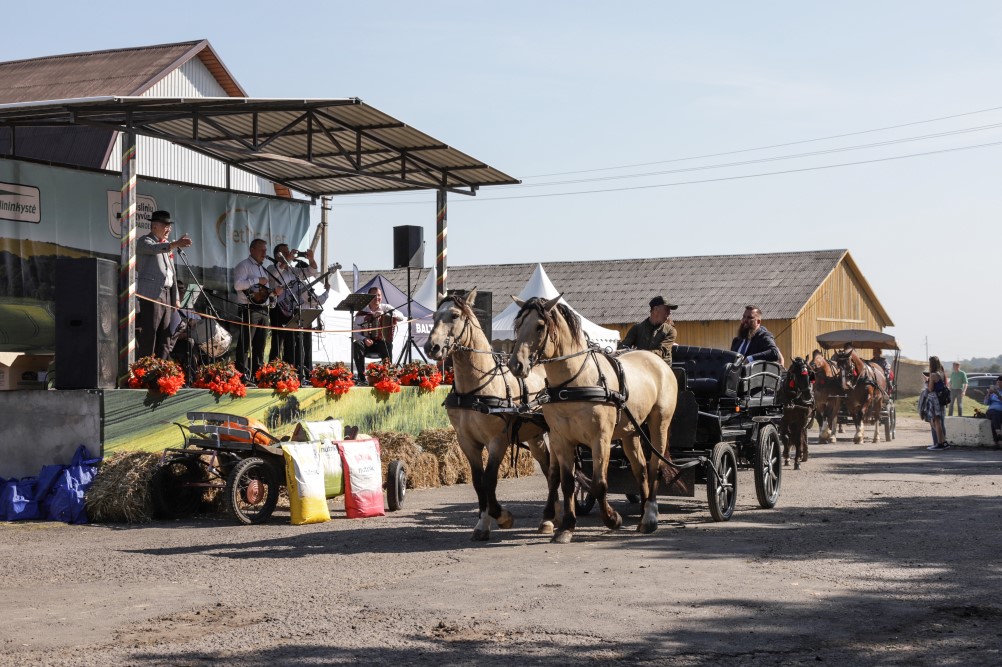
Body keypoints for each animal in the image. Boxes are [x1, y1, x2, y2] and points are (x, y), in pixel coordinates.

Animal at [418, 288, 553, 536]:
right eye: (433, 316)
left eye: (454, 315)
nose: (432, 347)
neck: (477, 388)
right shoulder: (467, 442)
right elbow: (477, 481)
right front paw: (482, 522)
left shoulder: (497, 441)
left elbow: (490, 480)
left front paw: (502, 516)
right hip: (536, 435)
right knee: (549, 469)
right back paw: (549, 519)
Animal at [505, 294, 677, 540]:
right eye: (518, 325)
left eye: (539, 326)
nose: (516, 365)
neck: (574, 383)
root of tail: (658, 362)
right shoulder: (560, 438)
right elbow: (567, 482)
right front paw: (566, 527)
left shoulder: (600, 439)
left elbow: (599, 483)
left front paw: (613, 519)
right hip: (630, 433)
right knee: (641, 470)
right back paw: (643, 513)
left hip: (659, 424)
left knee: (655, 467)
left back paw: (650, 516)